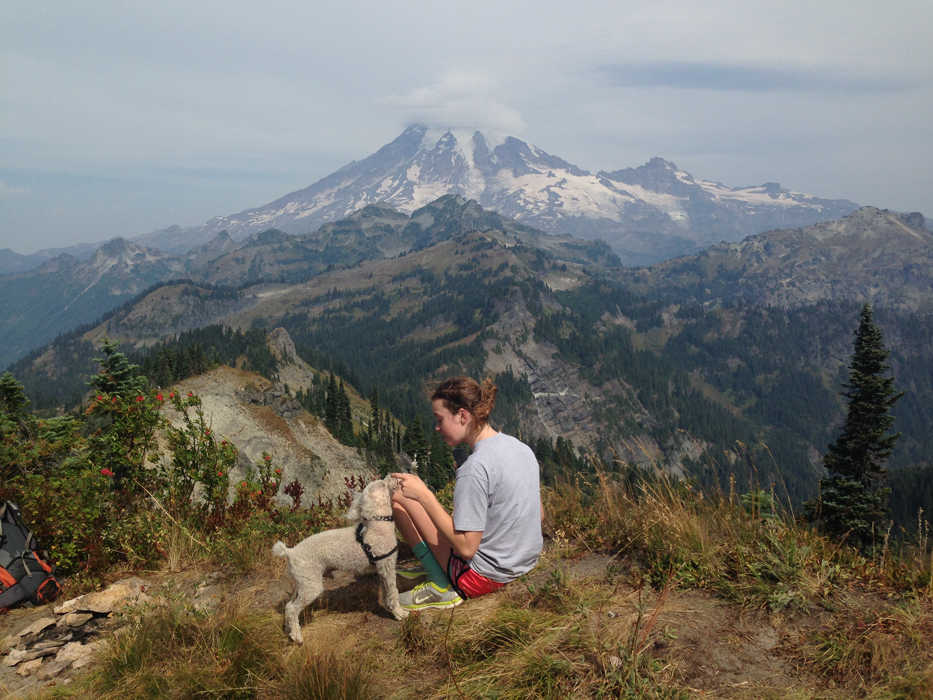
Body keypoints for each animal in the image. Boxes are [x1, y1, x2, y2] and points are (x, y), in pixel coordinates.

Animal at [266, 474, 404, 644]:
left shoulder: (382, 570)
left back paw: (289, 631)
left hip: (302, 583)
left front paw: (390, 609)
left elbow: (386, 593)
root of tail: (290, 552)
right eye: (383, 484)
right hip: (312, 586)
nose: (392, 475)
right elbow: (393, 592)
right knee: (292, 609)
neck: (377, 524)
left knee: (288, 606)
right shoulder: (387, 566)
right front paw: (399, 613)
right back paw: (297, 637)